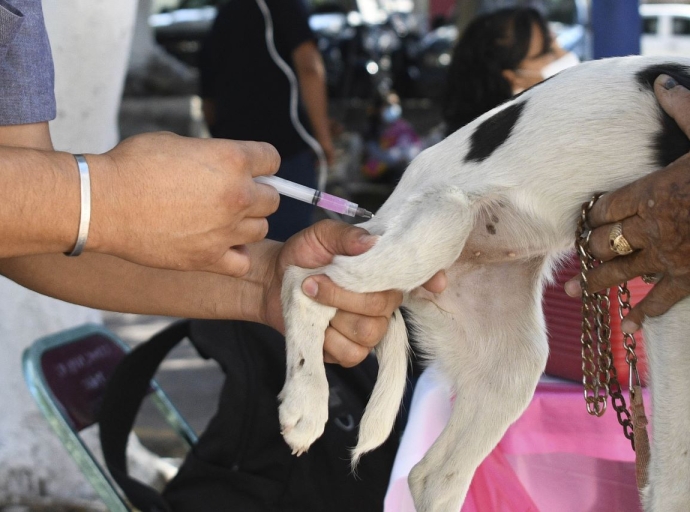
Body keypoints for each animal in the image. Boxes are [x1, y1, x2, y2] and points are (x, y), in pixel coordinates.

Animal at [276, 56, 688, 512]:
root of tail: (379, 213)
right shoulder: (672, 294)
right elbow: (673, 480)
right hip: (441, 217)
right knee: (302, 278)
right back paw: (306, 402)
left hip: (509, 364)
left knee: (432, 477)